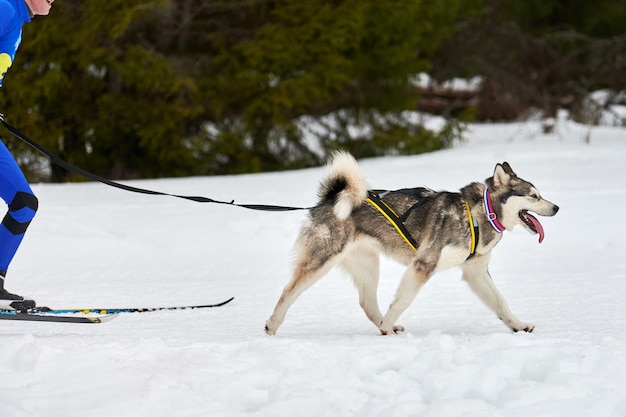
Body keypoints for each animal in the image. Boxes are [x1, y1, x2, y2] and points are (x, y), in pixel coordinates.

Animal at [266, 153, 560, 334]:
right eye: (533, 196)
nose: (556, 207)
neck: (480, 214)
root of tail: (329, 199)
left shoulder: (475, 271)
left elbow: (501, 303)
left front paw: (518, 325)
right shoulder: (423, 265)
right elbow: (402, 301)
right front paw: (388, 323)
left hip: (368, 267)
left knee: (366, 302)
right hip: (321, 260)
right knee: (288, 291)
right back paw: (273, 324)